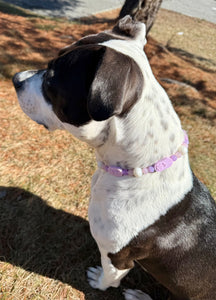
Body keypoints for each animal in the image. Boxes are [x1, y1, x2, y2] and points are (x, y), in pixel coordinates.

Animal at [13, 16, 216, 300]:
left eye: (51, 82)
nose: (15, 78)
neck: (137, 169)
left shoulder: (116, 257)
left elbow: (110, 277)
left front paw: (99, 282)